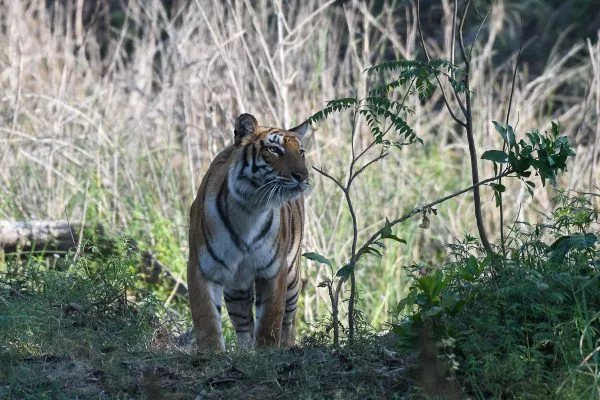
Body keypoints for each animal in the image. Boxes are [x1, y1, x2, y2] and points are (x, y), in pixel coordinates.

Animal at [188, 112, 310, 350]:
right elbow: (207, 322)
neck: (250, 207)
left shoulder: (274, 270)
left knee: (289, 321)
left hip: (292, 275)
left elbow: (269, 323)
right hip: (236, 286)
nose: (302, 176)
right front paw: (212, 354)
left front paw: (267, 352)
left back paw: (287, 346)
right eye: (274, 150)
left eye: (301, 152)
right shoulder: (201, 268)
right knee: (244, 324)